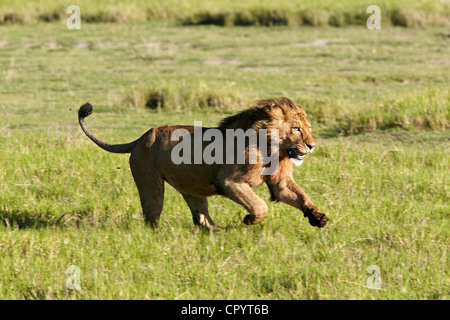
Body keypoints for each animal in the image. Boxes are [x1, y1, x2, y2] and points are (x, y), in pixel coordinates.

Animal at [77, 96, 328, 229]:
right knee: (152, 215)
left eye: (308, 128)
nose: (312, 145)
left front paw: (318, 217)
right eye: (296, 129)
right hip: (151, 185)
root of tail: (140, 138)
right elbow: (260, 206)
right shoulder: (229, 181)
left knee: (201, 218)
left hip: (192, 189)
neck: (274, 149)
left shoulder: (280, 182)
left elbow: (301, 197)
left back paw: (217, 231)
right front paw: (249, 219)